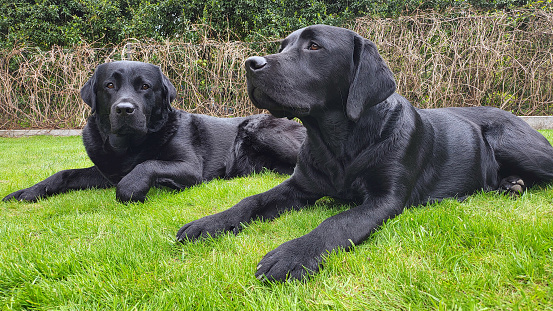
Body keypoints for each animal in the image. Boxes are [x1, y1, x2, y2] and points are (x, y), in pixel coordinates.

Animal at [3, 60, 306, 204]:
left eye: (145, 87)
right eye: (109, 85)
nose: (125, 109)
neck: (128, 146)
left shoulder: (189, 167)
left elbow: (148, 164)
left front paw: (132, 188)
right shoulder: (105, 172)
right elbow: (64, 173)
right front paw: (28, 191)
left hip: (262, 131)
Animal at [177, 25, 553, 282]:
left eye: (314, 46)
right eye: (283, 46)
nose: (249, 63)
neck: (339, 144)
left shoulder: (385, 199)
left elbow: (336, 222)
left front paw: (293, 253)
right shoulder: (299, 186)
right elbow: (250, 200)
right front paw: (209, 223)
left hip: (513, 142)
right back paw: (510, 185)